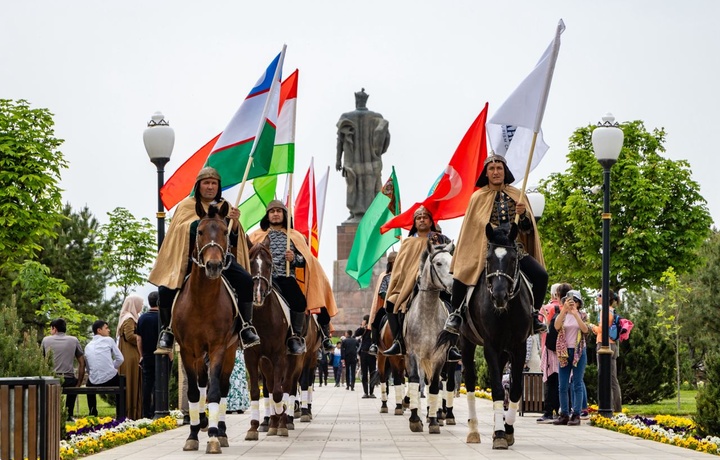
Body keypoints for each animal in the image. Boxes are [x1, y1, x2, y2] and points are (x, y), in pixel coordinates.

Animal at [173, 203, 238, 454]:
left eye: (225, 232)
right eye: (199, 232)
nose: (213, 266)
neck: (202, 301)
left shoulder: (218, 347)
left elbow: (215, 391)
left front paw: (212, 436)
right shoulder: (187, 349)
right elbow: (193, 391)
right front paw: (192, 435)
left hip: (230, 350)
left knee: (223, 386)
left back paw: (221, 431)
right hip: (198, 353)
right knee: (201, 382)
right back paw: (200, 420)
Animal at [242, 241, 298, 438]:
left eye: (269, 264)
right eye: (251, 262)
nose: (257, 294)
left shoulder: (279, 355)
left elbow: (279, 392)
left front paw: (282, 418)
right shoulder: (252, 356)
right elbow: (255, 391)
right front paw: (252, 427)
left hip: (292, 359)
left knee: (285, 386)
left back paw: (281, 422)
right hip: (265, 363)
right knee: (271, 384)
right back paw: (273, 423)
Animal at [402, 239, 452, 434]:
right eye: (438, 263)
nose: (454, 284)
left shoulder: (439, 356)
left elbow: (435, 385)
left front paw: (433, 421)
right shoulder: (413, 354)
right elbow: (415, 381)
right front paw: (415, 420)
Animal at [458, 223, 532, 450]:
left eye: (513, 259)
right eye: (489, 258)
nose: (499, 296)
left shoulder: (519, 346)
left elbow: (514, 389)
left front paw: (507, 429)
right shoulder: (490, 345)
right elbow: (498, 390)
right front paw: (499, 433)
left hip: (504, 351)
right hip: (466, 342)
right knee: (470, 381)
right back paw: (473, 430)